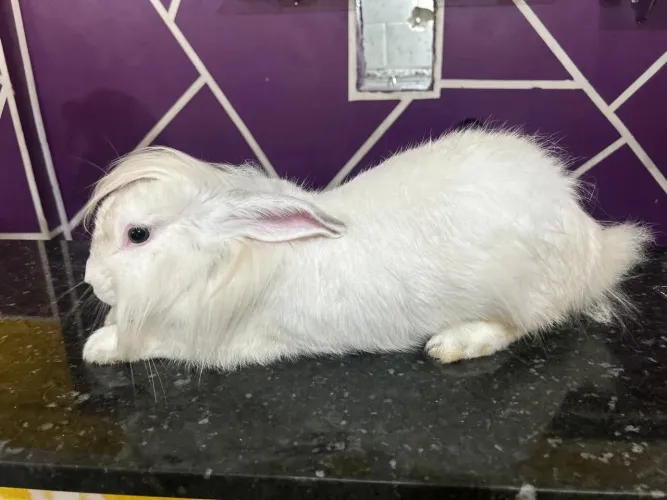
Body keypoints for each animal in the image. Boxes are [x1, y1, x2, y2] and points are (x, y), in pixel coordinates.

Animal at [81, 127, 651, 370]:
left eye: (137, 235)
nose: (91, 280)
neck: (228, 257)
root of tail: (591, 244)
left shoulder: (218, 344)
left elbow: (148, 340)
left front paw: (98, 346)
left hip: (520, 289)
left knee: (519, 326)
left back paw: (454, 343)